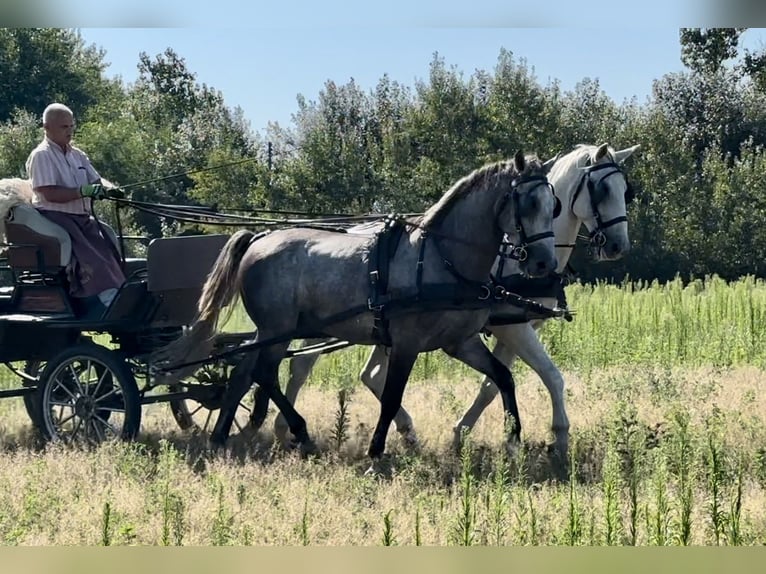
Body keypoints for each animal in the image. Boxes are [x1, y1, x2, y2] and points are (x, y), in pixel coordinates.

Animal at [154, 151, 560, 462]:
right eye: (527, 203)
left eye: (553, 206)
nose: (544, 263)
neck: (441, 257)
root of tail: (260, 237)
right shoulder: (407, 343)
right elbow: (392, 396)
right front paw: (376, 450)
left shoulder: (460, 342)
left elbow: (503, 377)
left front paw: (514, 439)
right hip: (278, 329)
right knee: (265, 373)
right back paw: (299, 432)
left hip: (271, 331)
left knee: (244, 373)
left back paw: (223, 435)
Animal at [252, 144, 640, 464]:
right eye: (602, 189)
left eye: (626, 191)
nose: (618, 246)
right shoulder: (512, 327)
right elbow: (549, 376)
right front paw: (558, 437)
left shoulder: (512, 328)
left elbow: (494, 383)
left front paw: (467, 433)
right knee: (300, 366)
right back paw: (283, 428)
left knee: (362, 374)